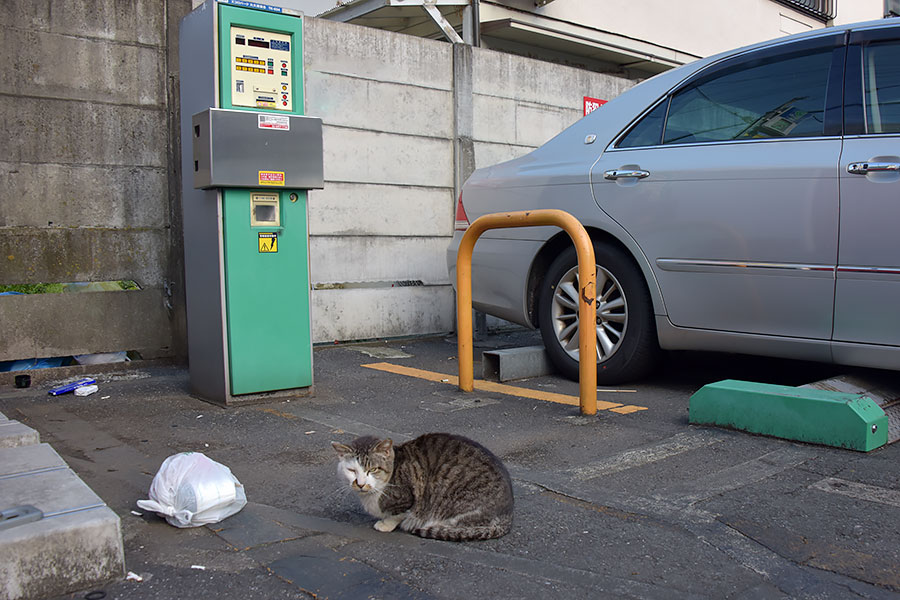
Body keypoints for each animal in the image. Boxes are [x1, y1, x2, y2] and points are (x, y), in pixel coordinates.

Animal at [330, 432, 512, 540]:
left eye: (373, 469)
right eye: (352, 470)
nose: (360, 484)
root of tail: (508, 515)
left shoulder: (408, 497)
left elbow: (399, 514)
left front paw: (386, 524)